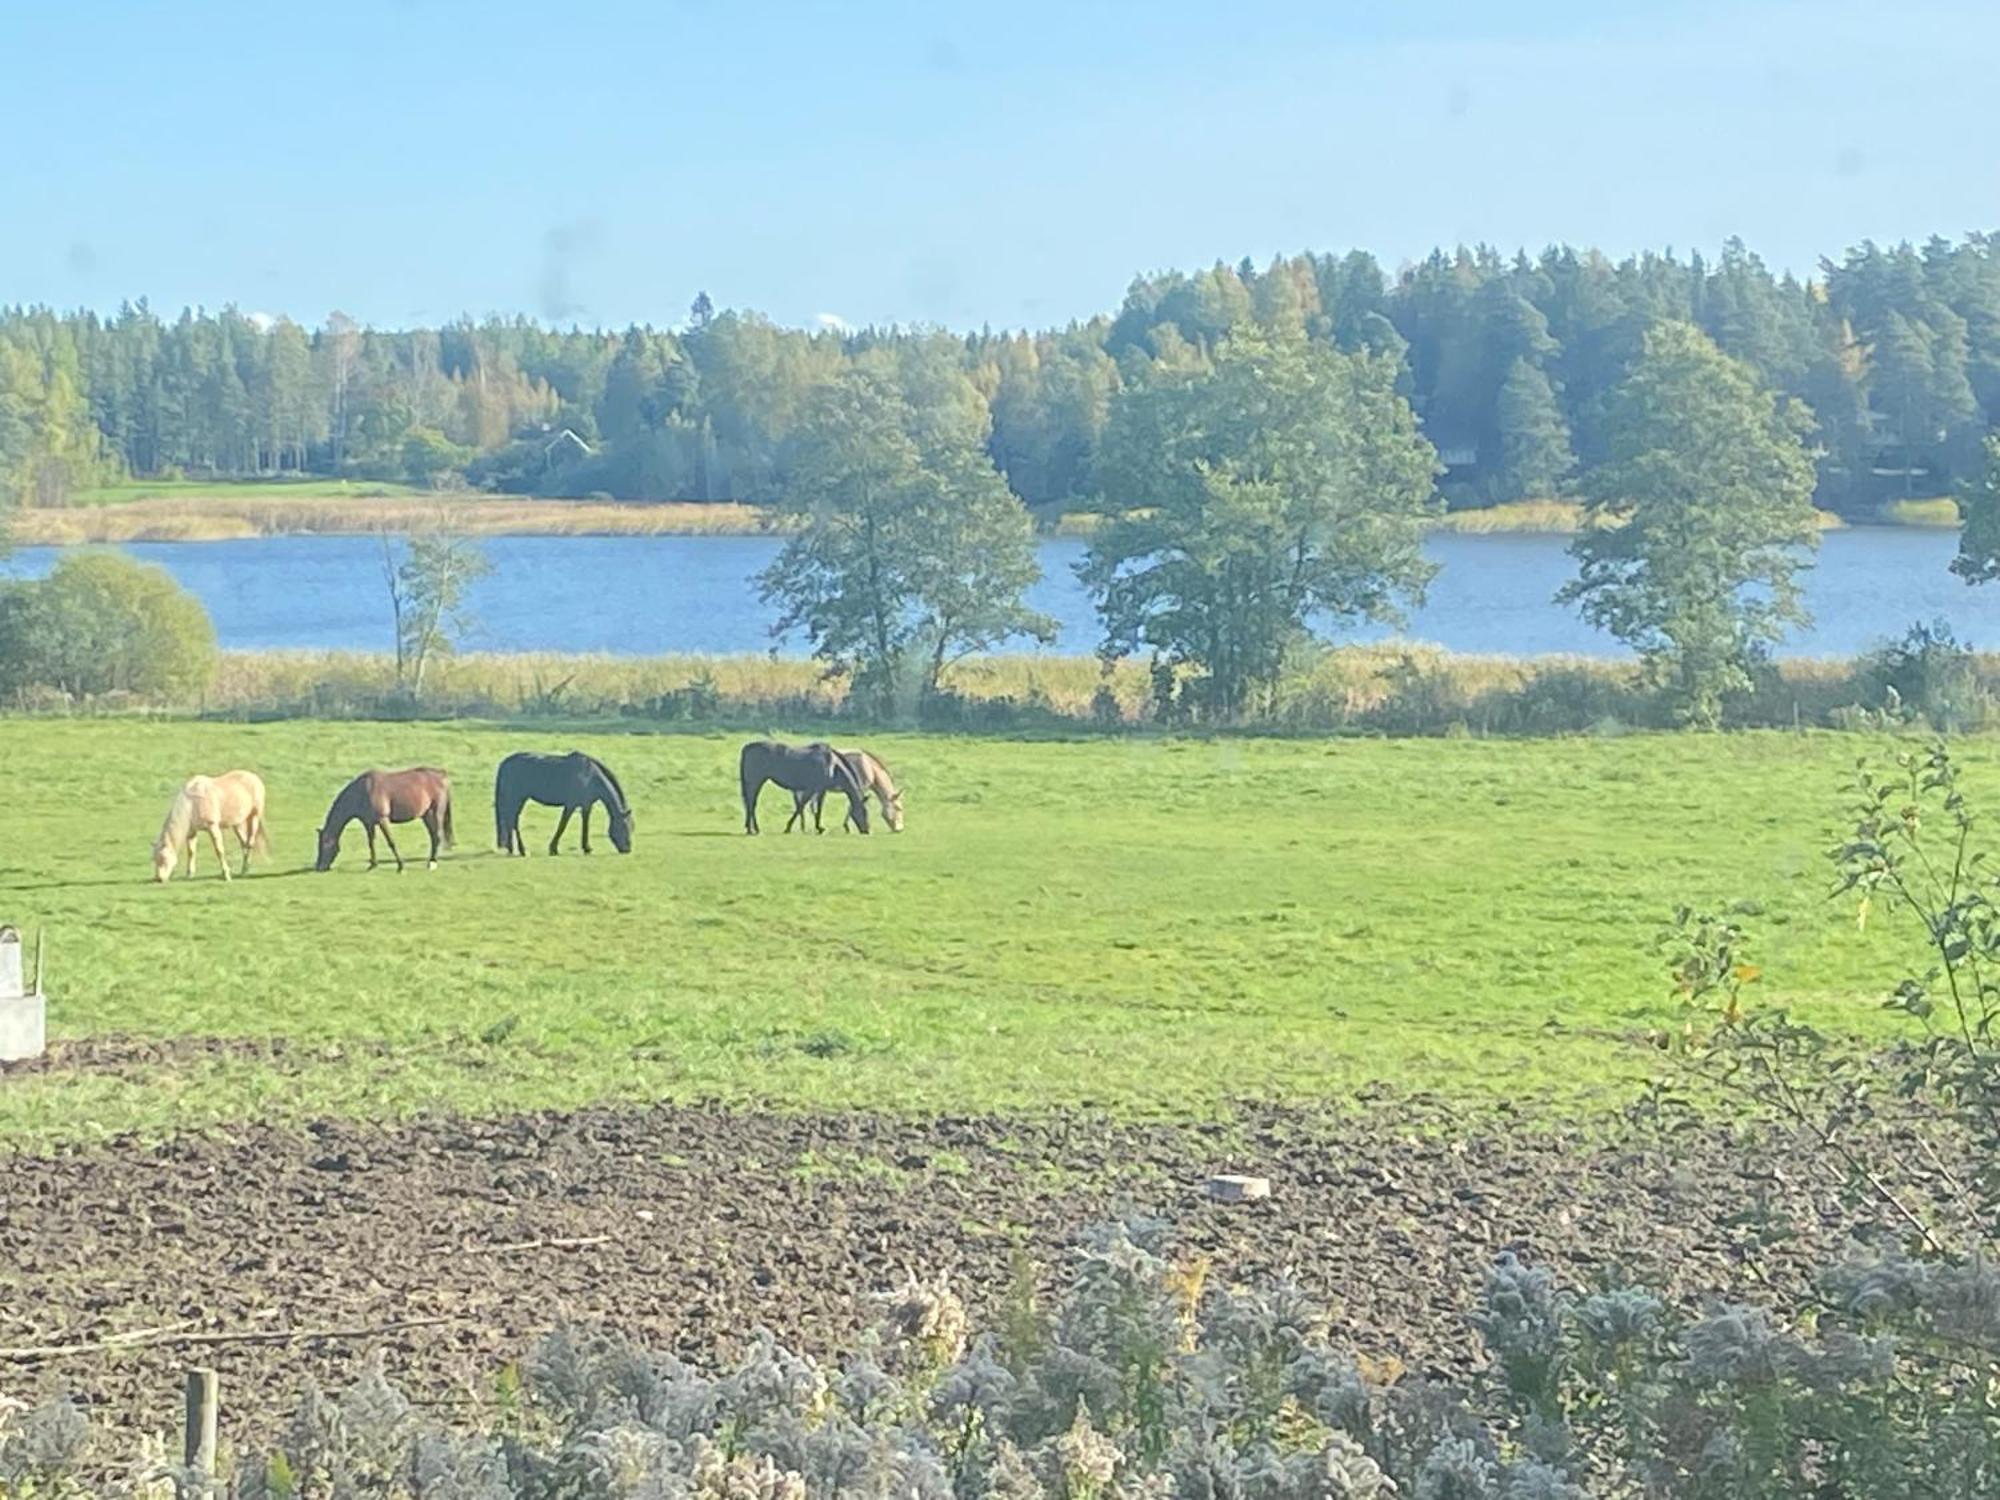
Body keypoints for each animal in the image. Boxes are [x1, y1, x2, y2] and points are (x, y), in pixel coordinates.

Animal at [314, 768, 456, 876]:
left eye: (325, 844)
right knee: (433, 837)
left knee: (437, 837)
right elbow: (371, 843)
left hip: (435, 813)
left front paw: (401, 867)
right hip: (426, 815)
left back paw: (432, 863)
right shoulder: (368, 823)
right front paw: (372, 865)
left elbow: (391, 842)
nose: (319, 867)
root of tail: (441, 775)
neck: (364, 791)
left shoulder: (382, 820)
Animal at [492, 752, 632, 856]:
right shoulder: (571, 805)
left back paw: (511, 849)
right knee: (513, 822)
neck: (590, 776)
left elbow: (585, 824)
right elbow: (562, 824)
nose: (627, 849)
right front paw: (553, 849)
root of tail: (505, 764)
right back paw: (522, 850)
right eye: (624, 827)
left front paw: (587, 848)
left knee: (510, 822)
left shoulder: (586, 805)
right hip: (517, 798)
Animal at [732, 748, 864, 840]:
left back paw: (752, 829)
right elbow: (801, 806)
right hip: (756, 781)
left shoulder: (820, 790)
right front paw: (789, 827)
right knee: (751, 804)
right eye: (863, 811)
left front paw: (819, 828)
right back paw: (753, 830)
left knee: (750, 804)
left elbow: (817, 808)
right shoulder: (812, 788)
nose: (866, 830)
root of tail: (747, 748)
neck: (831, 765)